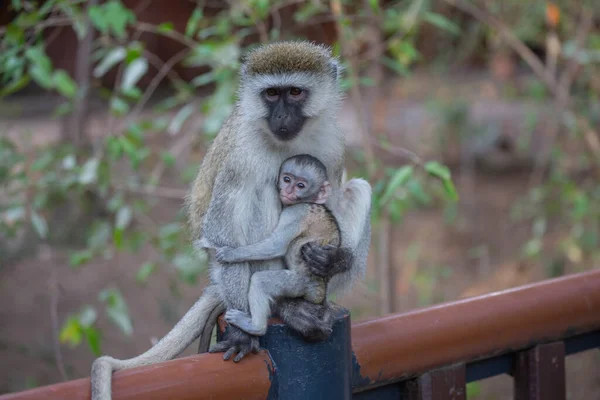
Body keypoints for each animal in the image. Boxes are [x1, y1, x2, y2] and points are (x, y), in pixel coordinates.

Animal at [199, 155, 346, 336]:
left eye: (300, 185)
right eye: (287, 179)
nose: (288, 191)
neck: (310, 201)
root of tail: (321, 290)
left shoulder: (296, 212)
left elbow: (276, 246)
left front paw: (231, 254)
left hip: (299, 283)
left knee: (260, 281)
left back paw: (256, 327)